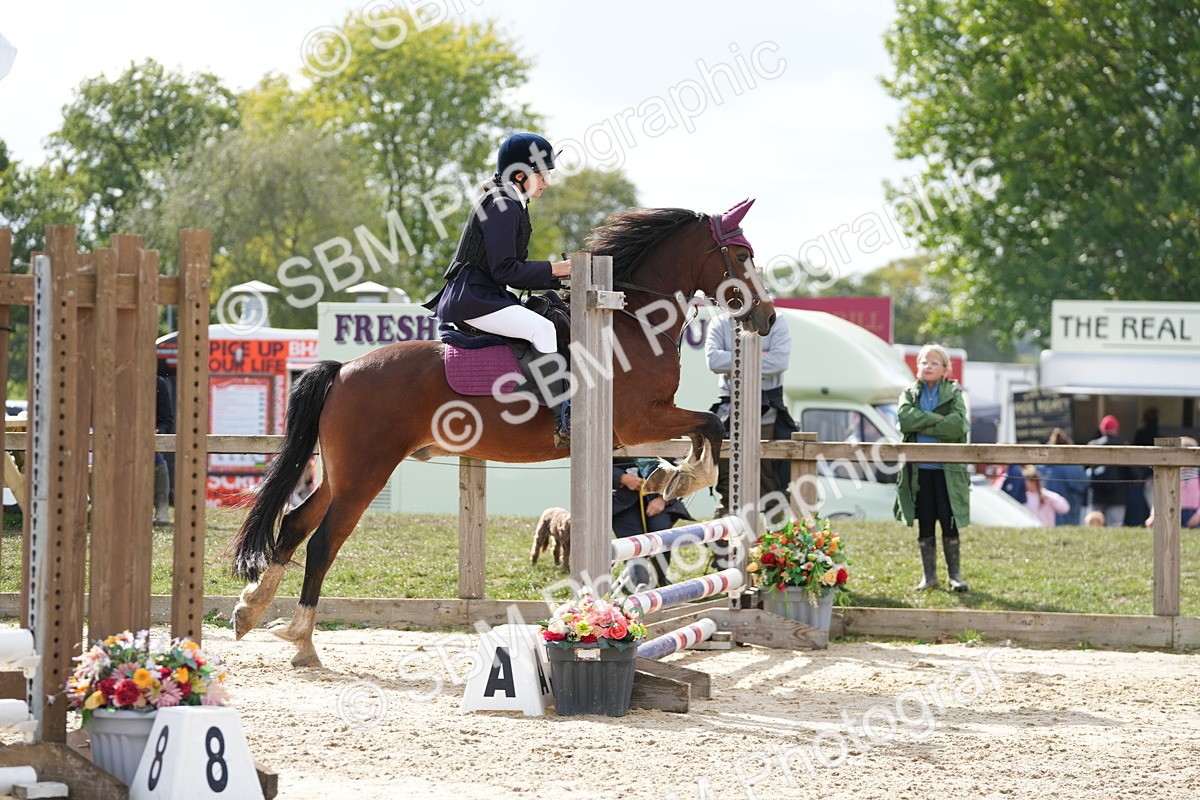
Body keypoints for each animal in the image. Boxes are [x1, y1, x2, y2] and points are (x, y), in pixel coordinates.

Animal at [230, 201, 775, 666]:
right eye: (742, 255)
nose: (767, 318)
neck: (629, 319)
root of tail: (342, 370)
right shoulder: (639, 420)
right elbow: (712, 425)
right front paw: (685, 477)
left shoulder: (642, 424)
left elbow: (704, 431)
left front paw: (670, 476)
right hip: (365, 473)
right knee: (322, 542)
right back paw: (301, 638)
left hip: (341, 473)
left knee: (295, 524)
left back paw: (251, 611)